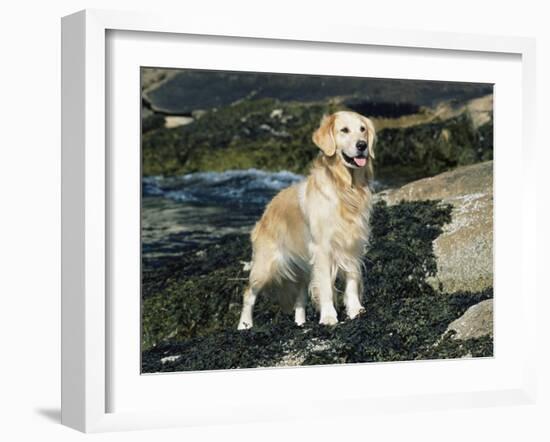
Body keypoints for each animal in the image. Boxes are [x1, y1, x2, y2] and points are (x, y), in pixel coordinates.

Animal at [237, 112, 376, 330]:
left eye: (362, 129)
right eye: (344, 130)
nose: (362, 145)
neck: (345, 189)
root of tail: (267, 210)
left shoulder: (352, 246)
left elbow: (352, 281)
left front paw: (355, 310)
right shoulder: (323, 249)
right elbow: (325, 287)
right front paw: (328, 317)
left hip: (302, 270)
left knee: (299, 299)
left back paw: (300, 323)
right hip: (264, 266)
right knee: (248, 293)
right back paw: (244, 325)